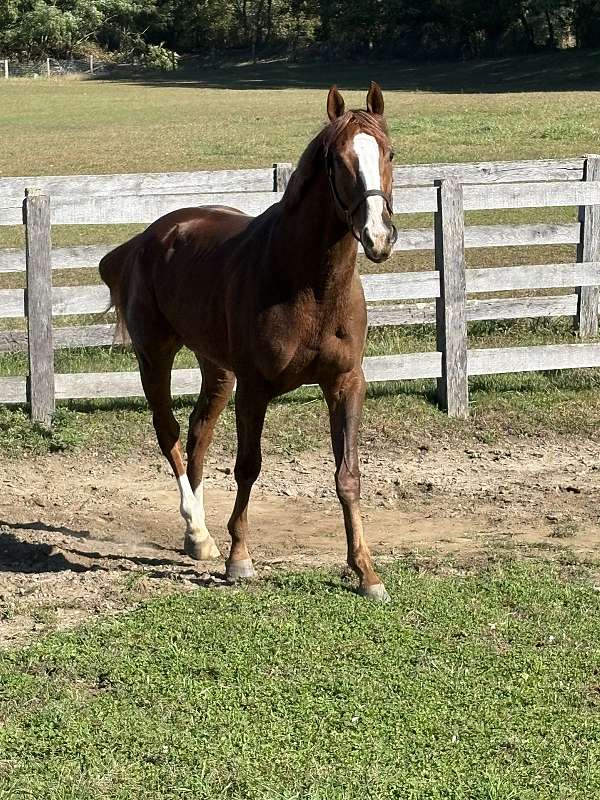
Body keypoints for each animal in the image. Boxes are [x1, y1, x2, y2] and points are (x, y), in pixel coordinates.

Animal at [99, 82, 397, 601]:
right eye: (339, 160)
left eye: (390, 153)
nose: (377, 237)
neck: (309, 285)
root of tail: (148, 238)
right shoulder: (255, 389)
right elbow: (248, 466)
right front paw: (239, 558)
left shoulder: (345, 383)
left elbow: (348, 475)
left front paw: (365, 572)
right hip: (154, 358)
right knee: (169, 433)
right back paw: (198, 530)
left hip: (217, 369)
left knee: (198, 433)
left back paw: (198, 537)